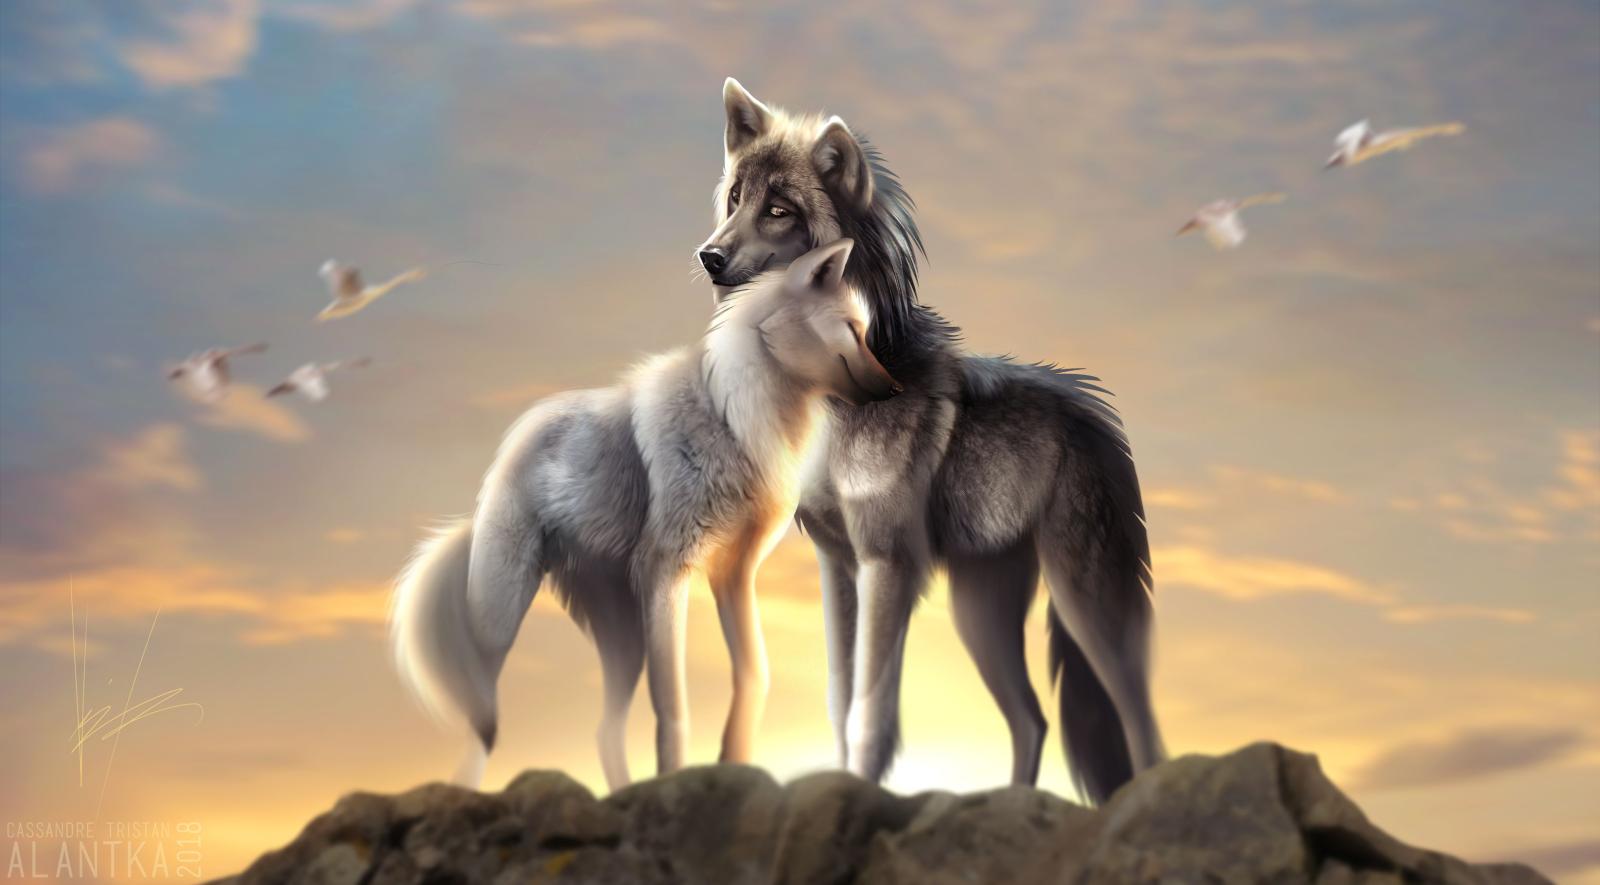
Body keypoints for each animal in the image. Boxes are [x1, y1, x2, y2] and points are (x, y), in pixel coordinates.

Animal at [390, 239, 899, 788]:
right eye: (853, 329)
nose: (895, 388)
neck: (734, 414)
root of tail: (514, 442)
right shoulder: (667, 572)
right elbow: (672, 706)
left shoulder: (733, 574)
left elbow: (755, 674)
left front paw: (732, 763)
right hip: (502, 620)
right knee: (482, 721)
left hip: (623, 640)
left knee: (603, 729)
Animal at [696, 79, 1166, 803]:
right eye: (735, 199)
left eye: (778, 209)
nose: (709, 257)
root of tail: (1100, 418)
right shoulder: (839, 564)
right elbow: (839, 698)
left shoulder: (887, 564)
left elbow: (869, 711)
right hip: (981, 612)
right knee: (1031, 718)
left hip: (1088, 605)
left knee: (1137, 713)